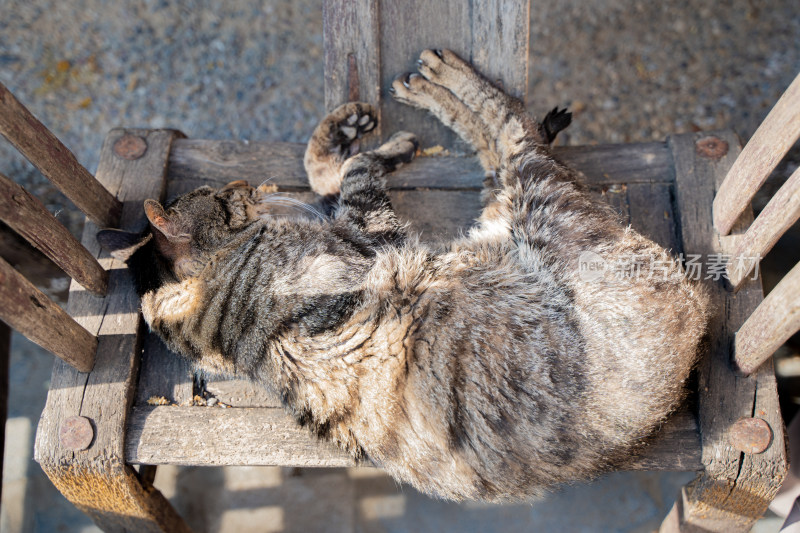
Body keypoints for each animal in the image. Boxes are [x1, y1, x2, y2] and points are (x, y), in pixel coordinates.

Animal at [98, 51, 708, 502]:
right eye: (218, 194)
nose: (244, 185)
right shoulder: (366, 233)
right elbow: (353, 170)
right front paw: (379, 143)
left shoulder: (349, 222)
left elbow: (325, 169)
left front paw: (350, 129)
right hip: (543, 204)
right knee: (514, 133)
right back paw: (441, 81)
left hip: (509, 214)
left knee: (502, 152)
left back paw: (430, 92)